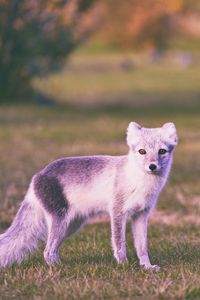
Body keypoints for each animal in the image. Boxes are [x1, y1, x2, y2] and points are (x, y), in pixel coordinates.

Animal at [0, 122, 178, 270]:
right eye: (142, 151)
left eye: (162, 151)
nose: (152, 166)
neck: (139, 182)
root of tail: (37, 176)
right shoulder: (117, 212)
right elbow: (119, 243)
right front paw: (124, 266)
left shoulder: (141, 215)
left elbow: (142, 247)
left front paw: (147, 267)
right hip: (60, 221)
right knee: (47, 250)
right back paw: (60, 269)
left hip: (71, 226)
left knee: (50, 248)